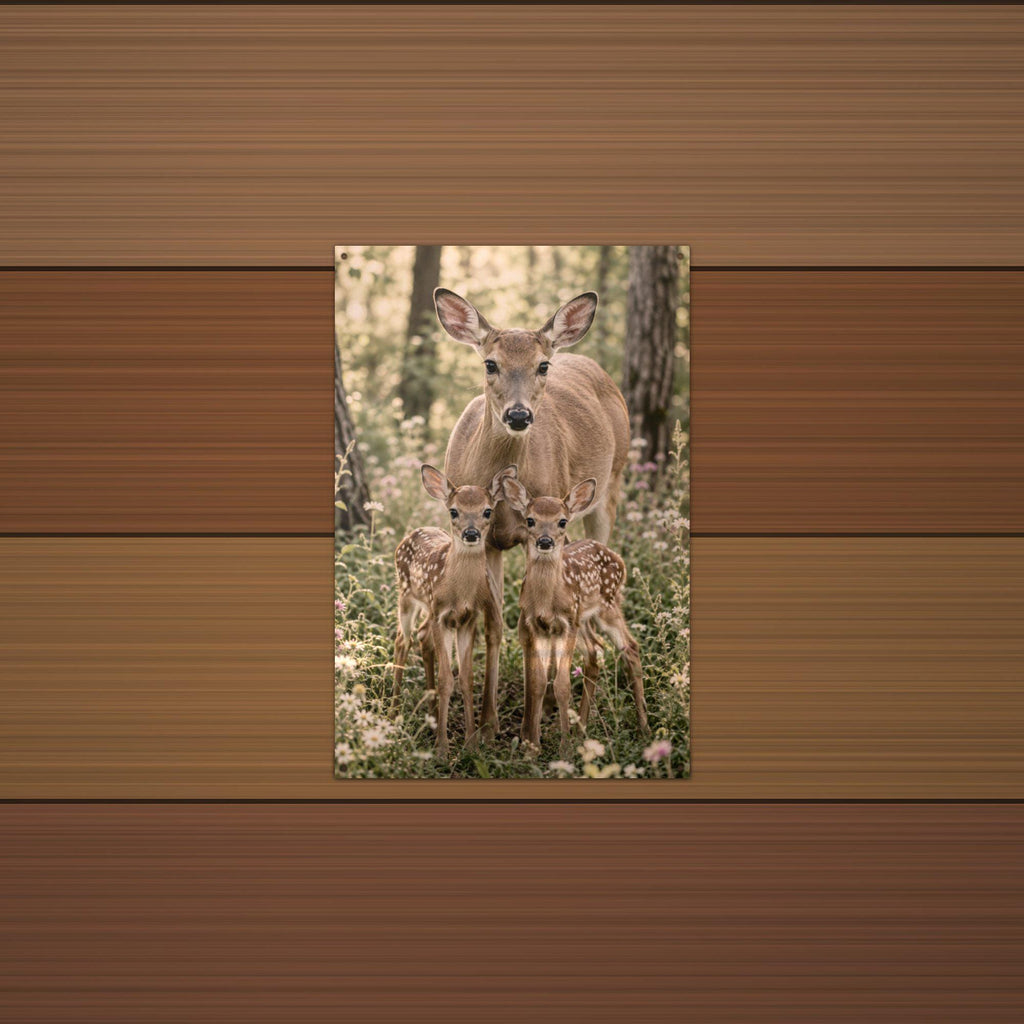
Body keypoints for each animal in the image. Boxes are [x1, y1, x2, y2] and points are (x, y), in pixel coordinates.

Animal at [393, 463, 517, 758]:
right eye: (453, 511)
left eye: (487, 510)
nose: (471, 534)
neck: (458, 591)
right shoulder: (441, 616)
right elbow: (446, 679)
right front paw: (442, 749)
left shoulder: (467, 619)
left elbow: (466, 678)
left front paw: (471, 743)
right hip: (406, 595)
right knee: (402, 640)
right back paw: (392, 714)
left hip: (427, 606)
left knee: (421, 637)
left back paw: (430, 714)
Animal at [433, 287, 631, 741]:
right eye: (490, 363)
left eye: (542, 365)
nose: (519, 415)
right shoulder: (486, 540)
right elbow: (494, 626)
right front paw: (486, 725)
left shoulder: (533, 533)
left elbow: (528, 628)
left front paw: (527, 726)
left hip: (610, 485)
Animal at [501, 475, 650, 757]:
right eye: (530, 520)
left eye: (562, 521)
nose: (545, 541)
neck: (546, 601)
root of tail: (619, 559)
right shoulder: (538, 626)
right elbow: (538, 682)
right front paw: (532, 750)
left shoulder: (565, 624)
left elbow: (562, 685)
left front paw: (564, 749)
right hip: (583, 620)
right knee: (596, 651)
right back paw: (582, 729)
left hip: (606, 606)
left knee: (630, 646)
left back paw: (643, 727)